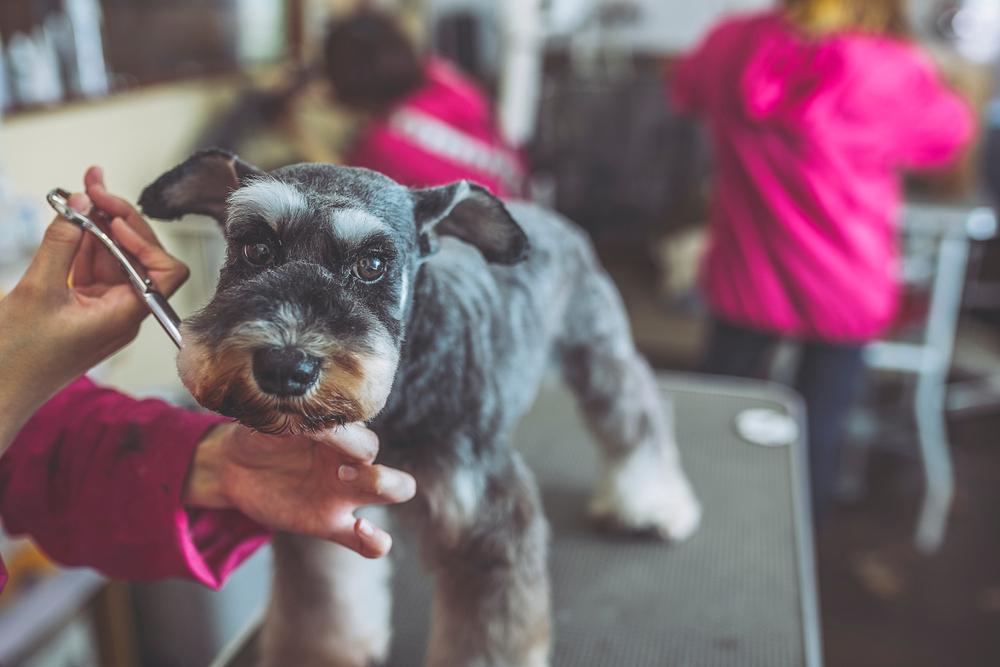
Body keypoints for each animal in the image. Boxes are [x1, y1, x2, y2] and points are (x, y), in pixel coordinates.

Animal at [139, 151, 704, 667]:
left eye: (372, 264)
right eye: (254, 248)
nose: (284, 366)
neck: (401, 397)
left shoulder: (488, 524)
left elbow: (488, 640)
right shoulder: (322, 514)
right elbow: (322, 608)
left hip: (599, 354)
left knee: (638, 413)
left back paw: (651, 504)